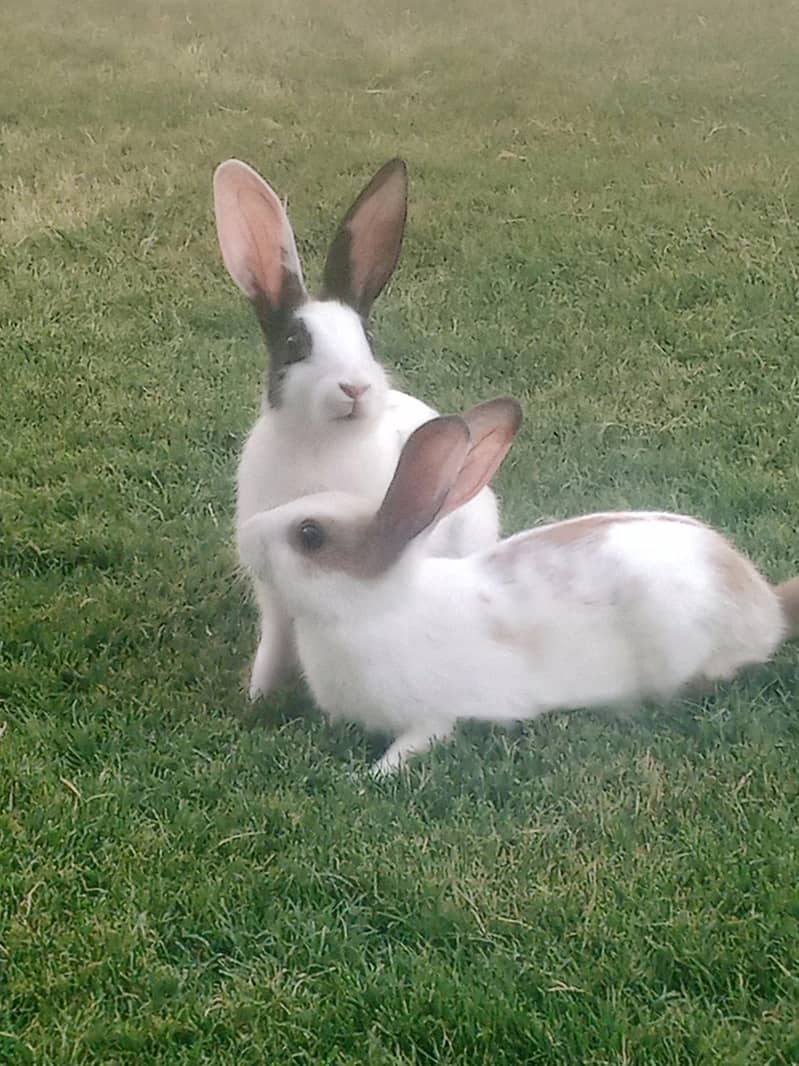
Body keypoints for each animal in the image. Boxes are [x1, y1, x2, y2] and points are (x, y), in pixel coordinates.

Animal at [214, 157, 499, 699]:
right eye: (294, 343)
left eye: (367, 337)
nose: (355, 387)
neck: (322, 444)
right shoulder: (273, 594)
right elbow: (275, 639)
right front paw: (258, 695)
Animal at [238, 397, 798, 775]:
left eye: (310, 535)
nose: (246, 536)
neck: (374, 606)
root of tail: (765, 605)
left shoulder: (432, 717)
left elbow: (415, 743)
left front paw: (374, 775)